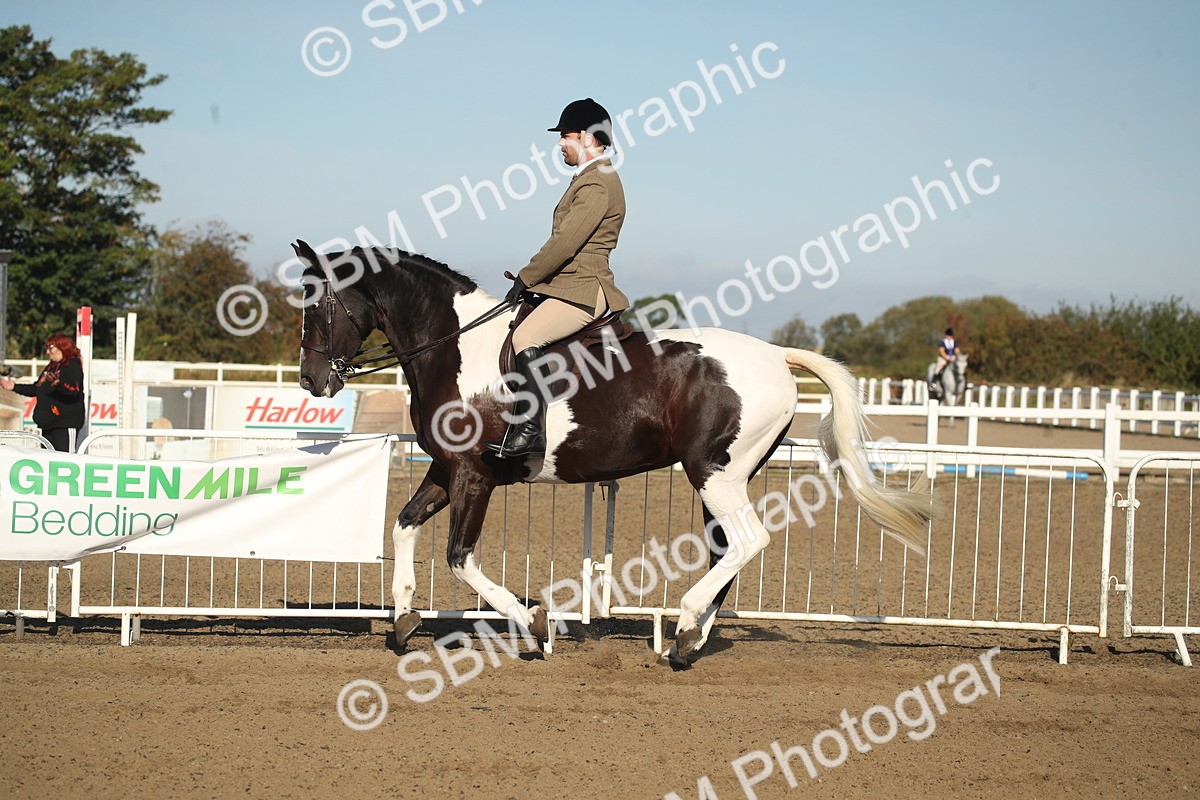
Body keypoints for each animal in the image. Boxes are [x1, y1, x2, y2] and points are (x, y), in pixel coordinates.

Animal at [293, 240, 932, 666]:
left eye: (316, 302)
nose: (311, 381)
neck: (455, 349)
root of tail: (777, 355)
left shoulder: (474, 475)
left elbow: (460, 557)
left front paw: (534, 623)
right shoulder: (446, 469)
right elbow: (403, 524)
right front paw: (402, 619)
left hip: (715, 473)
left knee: (748, 542)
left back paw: (682, 624)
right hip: (723, 479)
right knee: (727, 550)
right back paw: (690, 638)